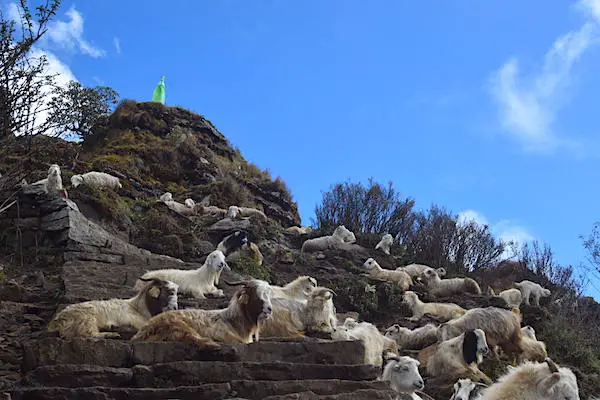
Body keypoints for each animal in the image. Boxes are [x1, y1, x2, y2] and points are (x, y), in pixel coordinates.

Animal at [47, 276, 178, 340]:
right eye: (170, 291)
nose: (175, 307)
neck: (138, 307)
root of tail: (57, 321)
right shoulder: (139, 324)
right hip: (86, 318)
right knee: (88, 334)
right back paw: (112, 334)